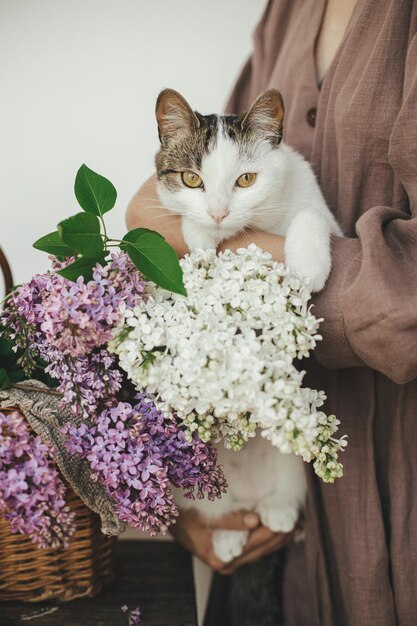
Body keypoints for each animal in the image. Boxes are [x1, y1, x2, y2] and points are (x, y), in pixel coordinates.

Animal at [153, 89, 342, 564]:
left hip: (288, 465)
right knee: (220, 509)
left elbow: (311, 218)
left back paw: (278, 512)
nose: (219, 213)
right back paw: (227, 534)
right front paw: (200, 234)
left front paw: (308, 265)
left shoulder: (321, 210)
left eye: (246, 180)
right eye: (191, 179)